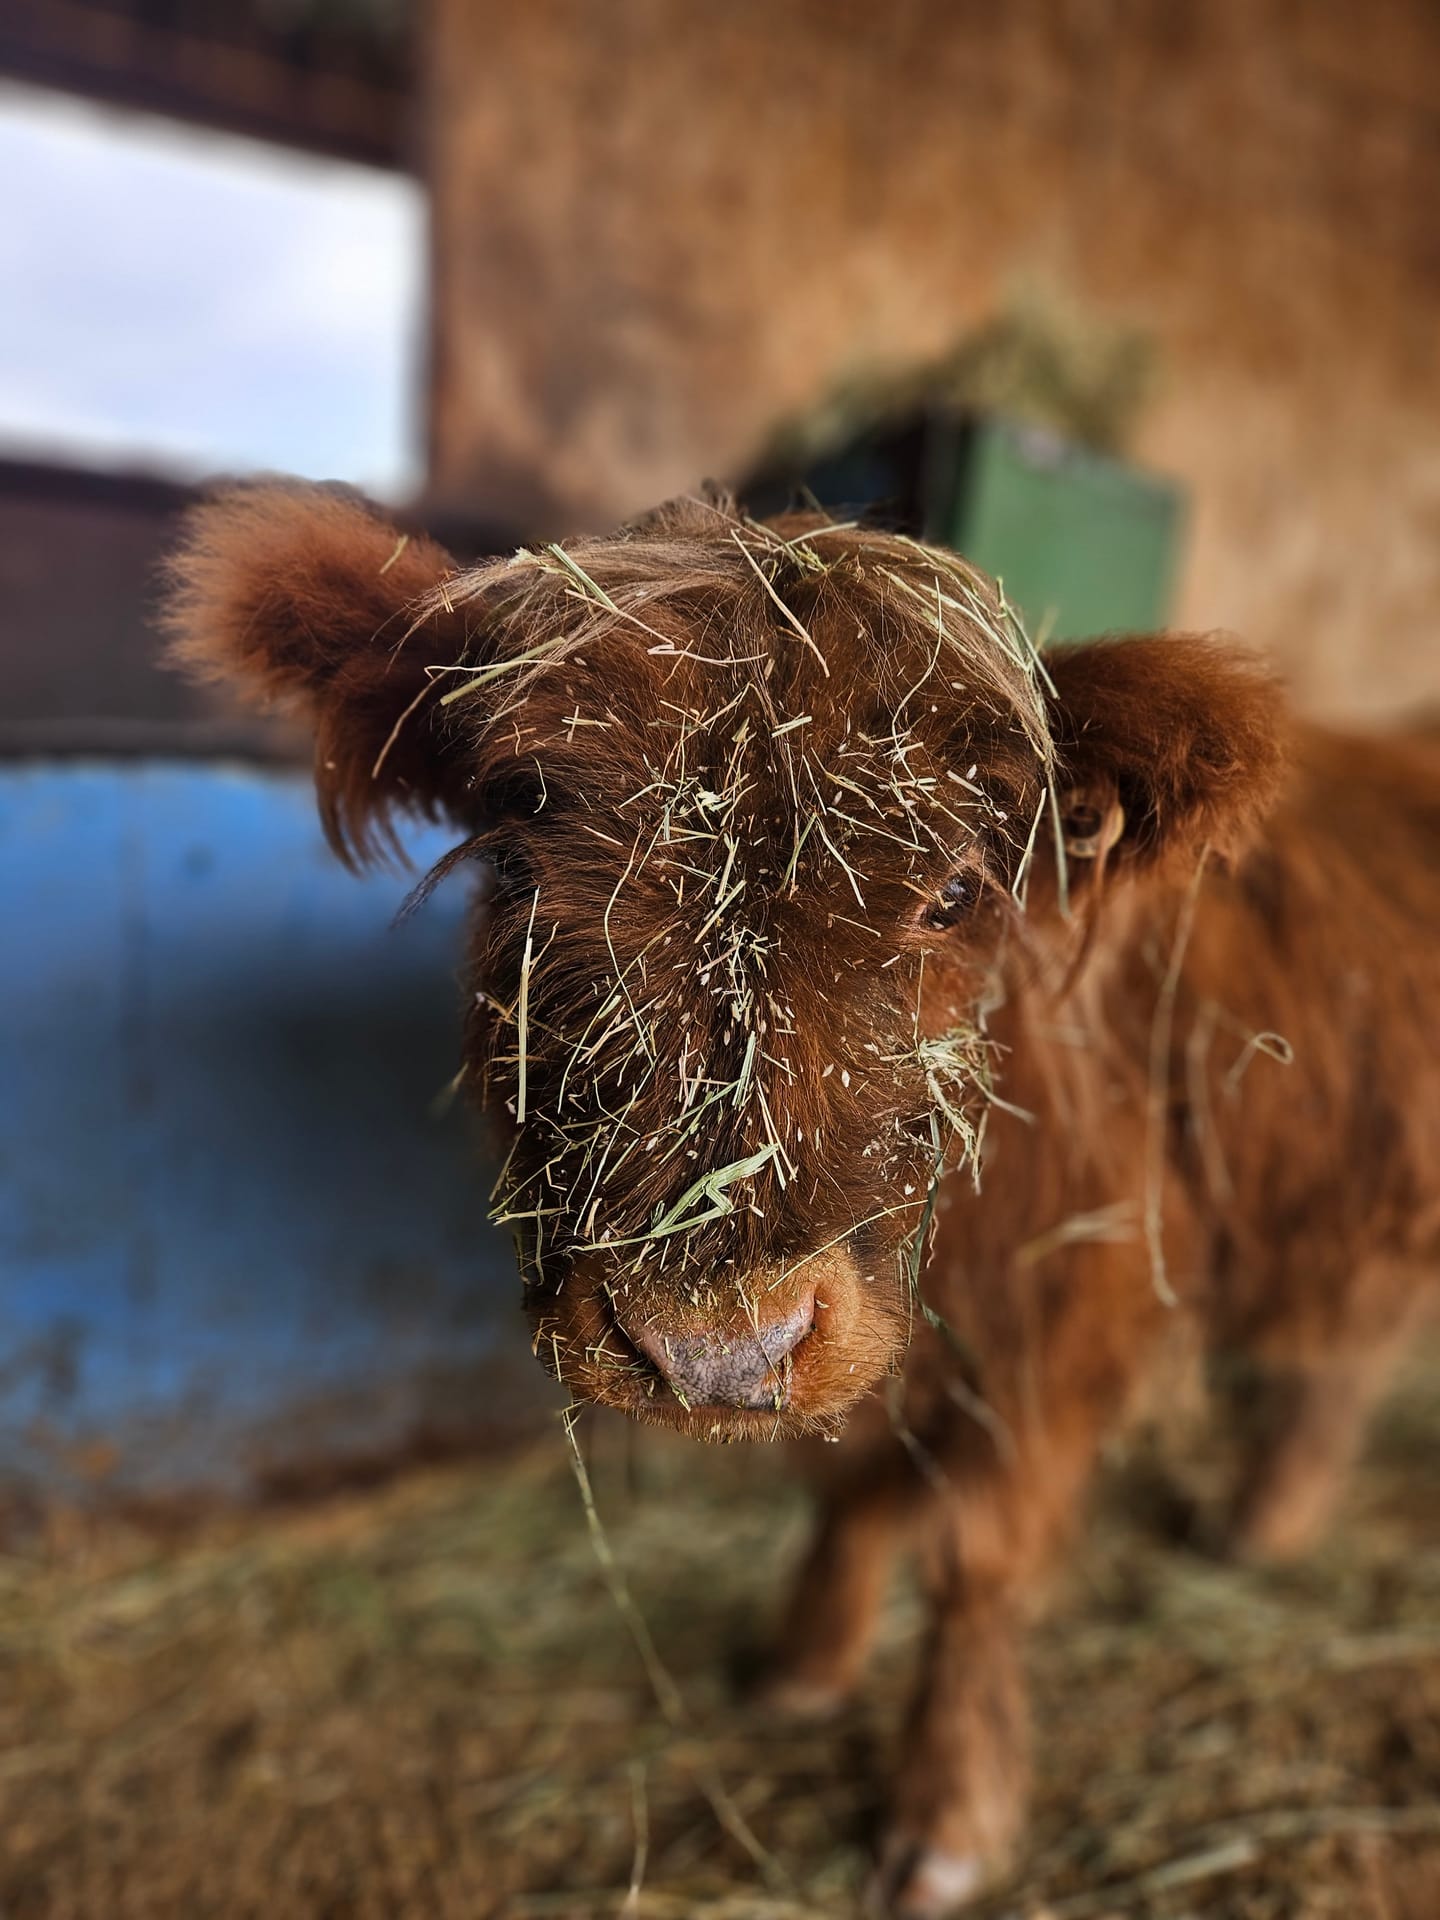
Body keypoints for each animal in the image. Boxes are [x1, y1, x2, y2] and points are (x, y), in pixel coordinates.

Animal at [165, 483, 1440, 1917]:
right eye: (520, 864)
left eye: (955, 892)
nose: (713, 1347)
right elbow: (850, 1489)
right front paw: (805, 1663)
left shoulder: (1057, 1324)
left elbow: (978, 1559)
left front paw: (944, 1814)